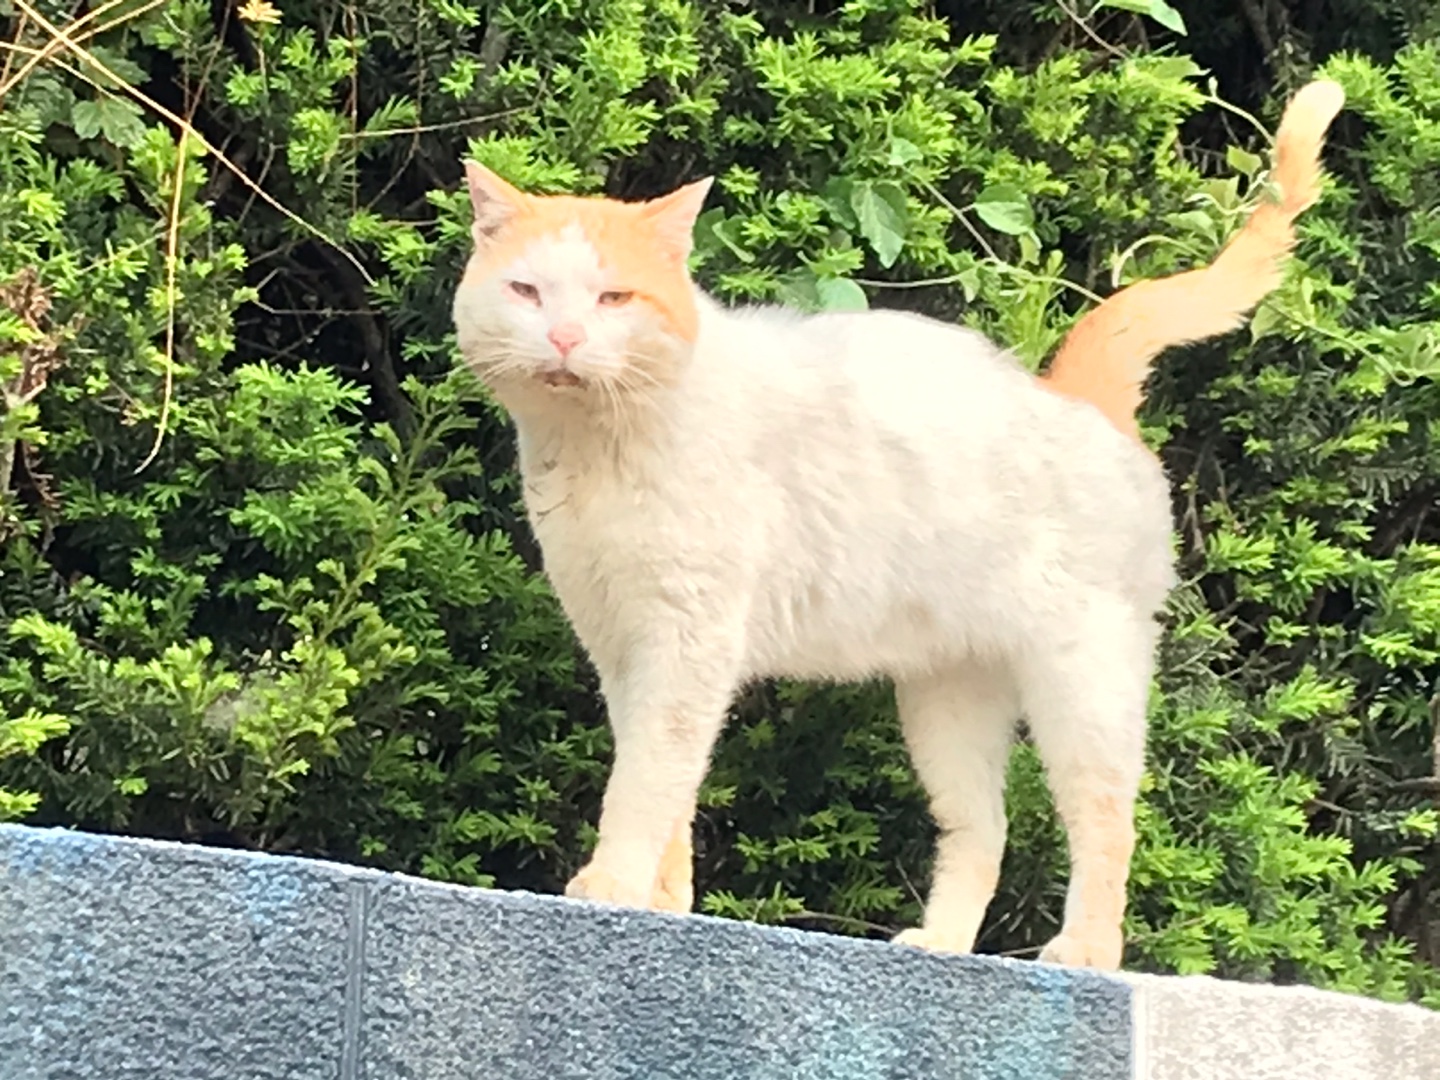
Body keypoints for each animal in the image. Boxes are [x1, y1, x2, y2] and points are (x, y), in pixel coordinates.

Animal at [451, 79, 1345, 970]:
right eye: (527, 293)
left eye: (615, 298)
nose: (564, 336)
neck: (592, 448)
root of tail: (1072, 394)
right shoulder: (621, 647)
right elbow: (665, 787)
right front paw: (661, 901)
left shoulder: (686, 644)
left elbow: (645, 782)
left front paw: (612, 884)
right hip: (950, 704)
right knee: (985, 828)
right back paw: (943, 941)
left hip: (1085, 684)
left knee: (1107, 820)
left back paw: (1084, 950)